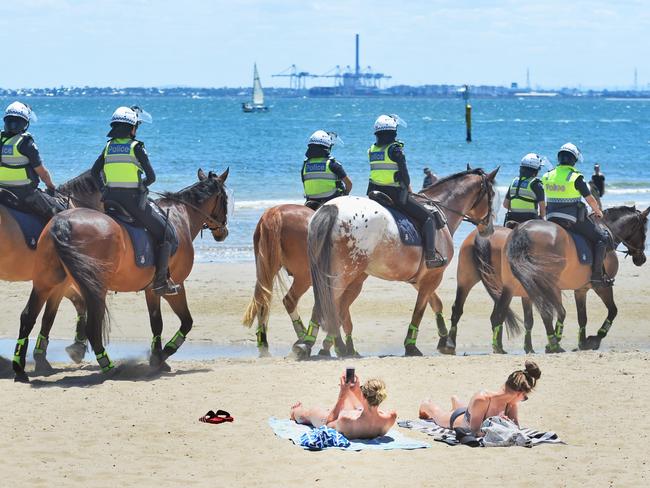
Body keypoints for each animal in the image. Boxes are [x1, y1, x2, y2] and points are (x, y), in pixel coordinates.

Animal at [10, 170, 230, 384]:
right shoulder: (175, 287)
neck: (180, 217)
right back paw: (108, 367)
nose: (223, 232)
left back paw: (20, 369)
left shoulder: (152, 290)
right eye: (226, 199)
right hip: (93, 288)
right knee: (92, 327)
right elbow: (186, 322)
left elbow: (156, 323)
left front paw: (158, 357)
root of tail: (62, 222)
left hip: (46, 283)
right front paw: (163, 355)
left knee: (28, 316)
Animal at [478, 206, 644, 354]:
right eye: (644, 230)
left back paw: (499, 347)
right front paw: (594, 339)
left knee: (499, 314)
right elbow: (612, 311)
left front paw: (582, 342)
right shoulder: (602, 287)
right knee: (546, 313)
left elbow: (582, 317)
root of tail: (521, 230)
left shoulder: (580, 289)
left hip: (512, 286)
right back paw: (553, 345)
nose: (642, 259)